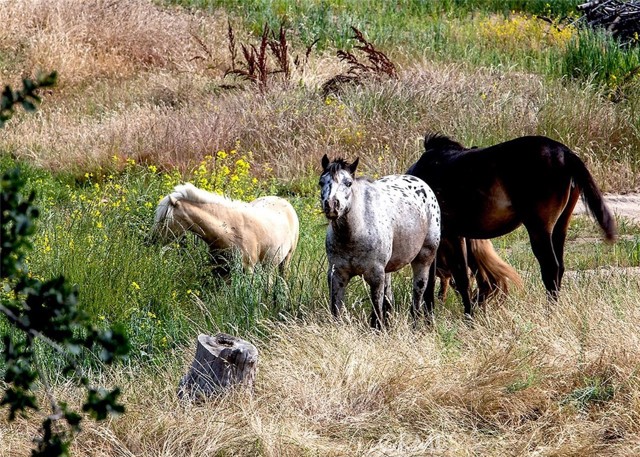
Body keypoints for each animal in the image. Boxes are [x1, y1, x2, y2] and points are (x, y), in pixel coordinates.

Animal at [154, 183, 298, 274]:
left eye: (164, 220)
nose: (152, 241)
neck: (230, 231)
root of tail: (282, 200)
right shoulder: (220, 269)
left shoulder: (248, 269)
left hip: (286, 260)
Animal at [318, 155, 440, 326]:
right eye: (321, 182)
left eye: (348, 183)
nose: (331, 205)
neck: (354, 234)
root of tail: (423, 184)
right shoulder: (337, 275)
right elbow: (336, 310)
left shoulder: (375, 275)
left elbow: (376, 308)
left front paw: (378, 327)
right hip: (387, 270)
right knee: (389, 298)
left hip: (424, 258)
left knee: (418, 293)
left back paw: (415, 324)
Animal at [408, 134, 616, 316]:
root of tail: (565, 153)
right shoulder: (456, 236)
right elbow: (458, 279)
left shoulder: (447, 236)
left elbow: (445, 279)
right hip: (560, 226)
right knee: (560, 268)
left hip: (539, 229)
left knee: (551, 269)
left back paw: (549, 314)